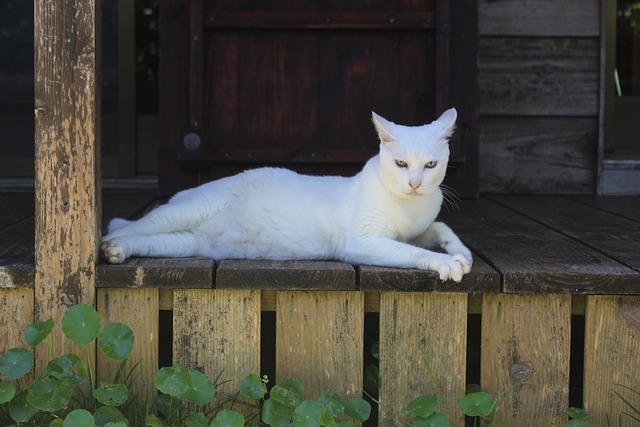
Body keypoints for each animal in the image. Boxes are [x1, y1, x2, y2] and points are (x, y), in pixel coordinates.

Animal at [102, 108, 472, 282]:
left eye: (430, 165)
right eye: (401, 164)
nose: (415, 183)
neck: (411, 207)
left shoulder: (416, 230)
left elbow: (440, 228)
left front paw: (461, 253)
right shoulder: (365, 241)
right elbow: (413, 252)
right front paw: (447, 263)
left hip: (183, 244)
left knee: (146, 242)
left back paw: (118, 252)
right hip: (183, 213)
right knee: (127, 227)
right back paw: (107, 245)